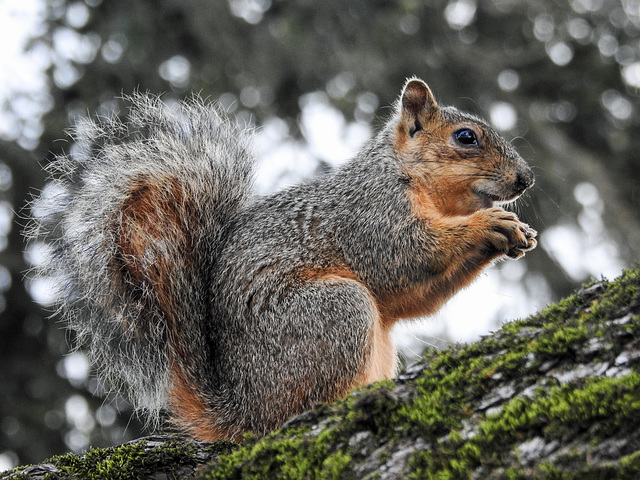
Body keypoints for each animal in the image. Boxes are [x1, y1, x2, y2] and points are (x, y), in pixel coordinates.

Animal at [30, 78, 536, 442]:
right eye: (466, 138)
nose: (526, 179)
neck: (407, 176)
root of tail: (242, 407)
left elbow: (415, 297)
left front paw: (514, 232)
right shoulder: (371, 214)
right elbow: (406, 256)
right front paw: (489, 224)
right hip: (334, 312)